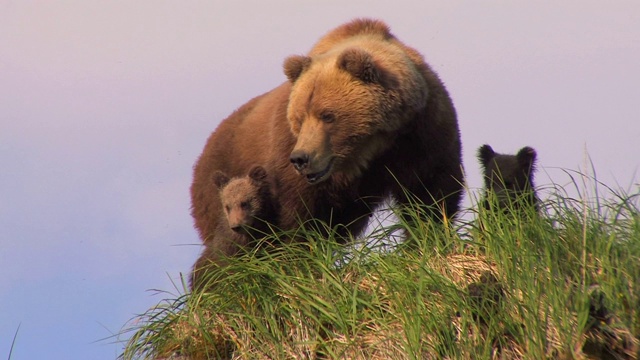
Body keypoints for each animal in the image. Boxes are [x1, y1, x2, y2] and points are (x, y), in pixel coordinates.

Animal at [190, 17, 464, 270]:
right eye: (300, 118)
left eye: (327, 115)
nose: (301, 158)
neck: (371, 149)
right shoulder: (292, 169)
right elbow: (300, 221)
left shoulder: (421, 134)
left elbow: (429, 195)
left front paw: (425, 243)